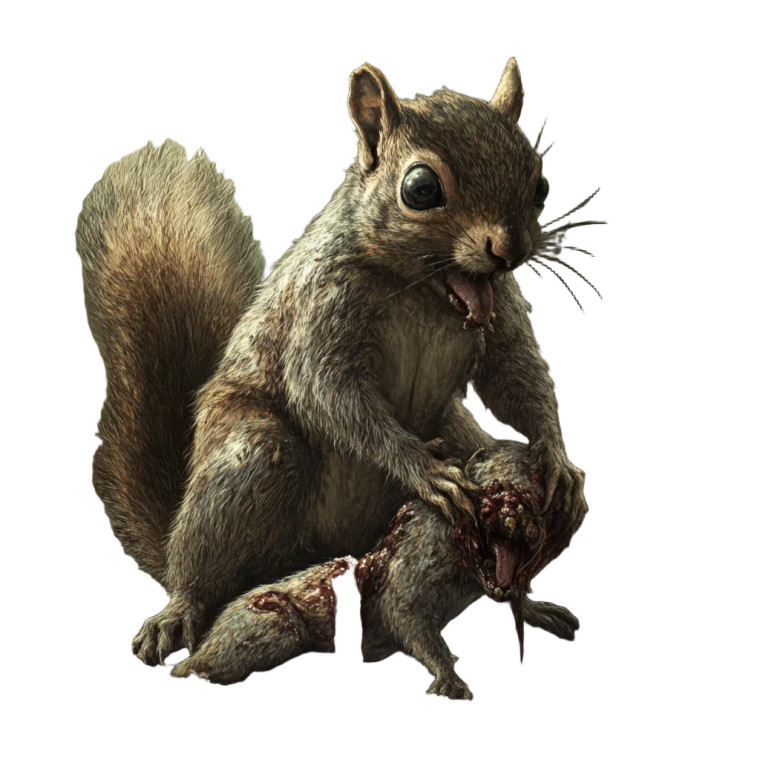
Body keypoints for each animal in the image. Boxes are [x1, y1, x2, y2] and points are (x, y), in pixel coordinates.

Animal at [76, 57, 587, 667]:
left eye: (541, 184)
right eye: (420, 188)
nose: (509, 250)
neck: (422, 291)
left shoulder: (499, 306)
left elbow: (517, 375)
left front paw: (557, 458)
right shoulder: (321, 302)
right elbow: (327, 389)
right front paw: (427, 471)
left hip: (461, 437)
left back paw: (532, 603)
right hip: (249, 458)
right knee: (204, 558)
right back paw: (180, 610)